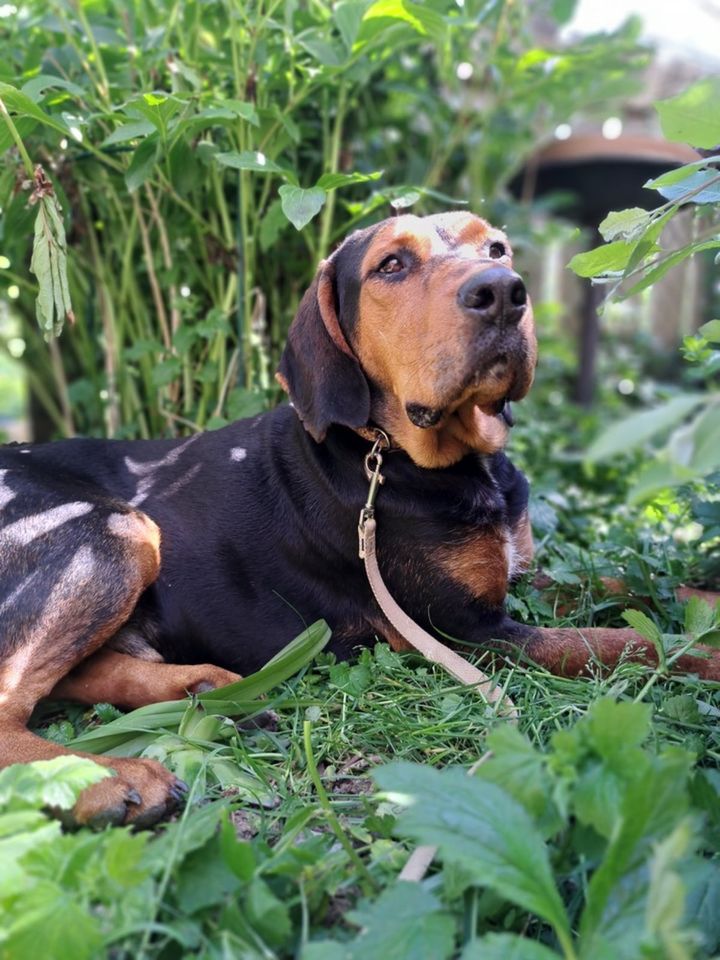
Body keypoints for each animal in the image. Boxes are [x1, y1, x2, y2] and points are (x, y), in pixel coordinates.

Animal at [1, 214, 720, 828]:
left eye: (497, 248)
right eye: (391, 265)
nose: (503, 292)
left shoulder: (522, 577)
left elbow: (628, 587)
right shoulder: (466, 628)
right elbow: (622, 644)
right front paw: (704, 656)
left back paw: (207, 687)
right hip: (114, 532)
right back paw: (110, 780)